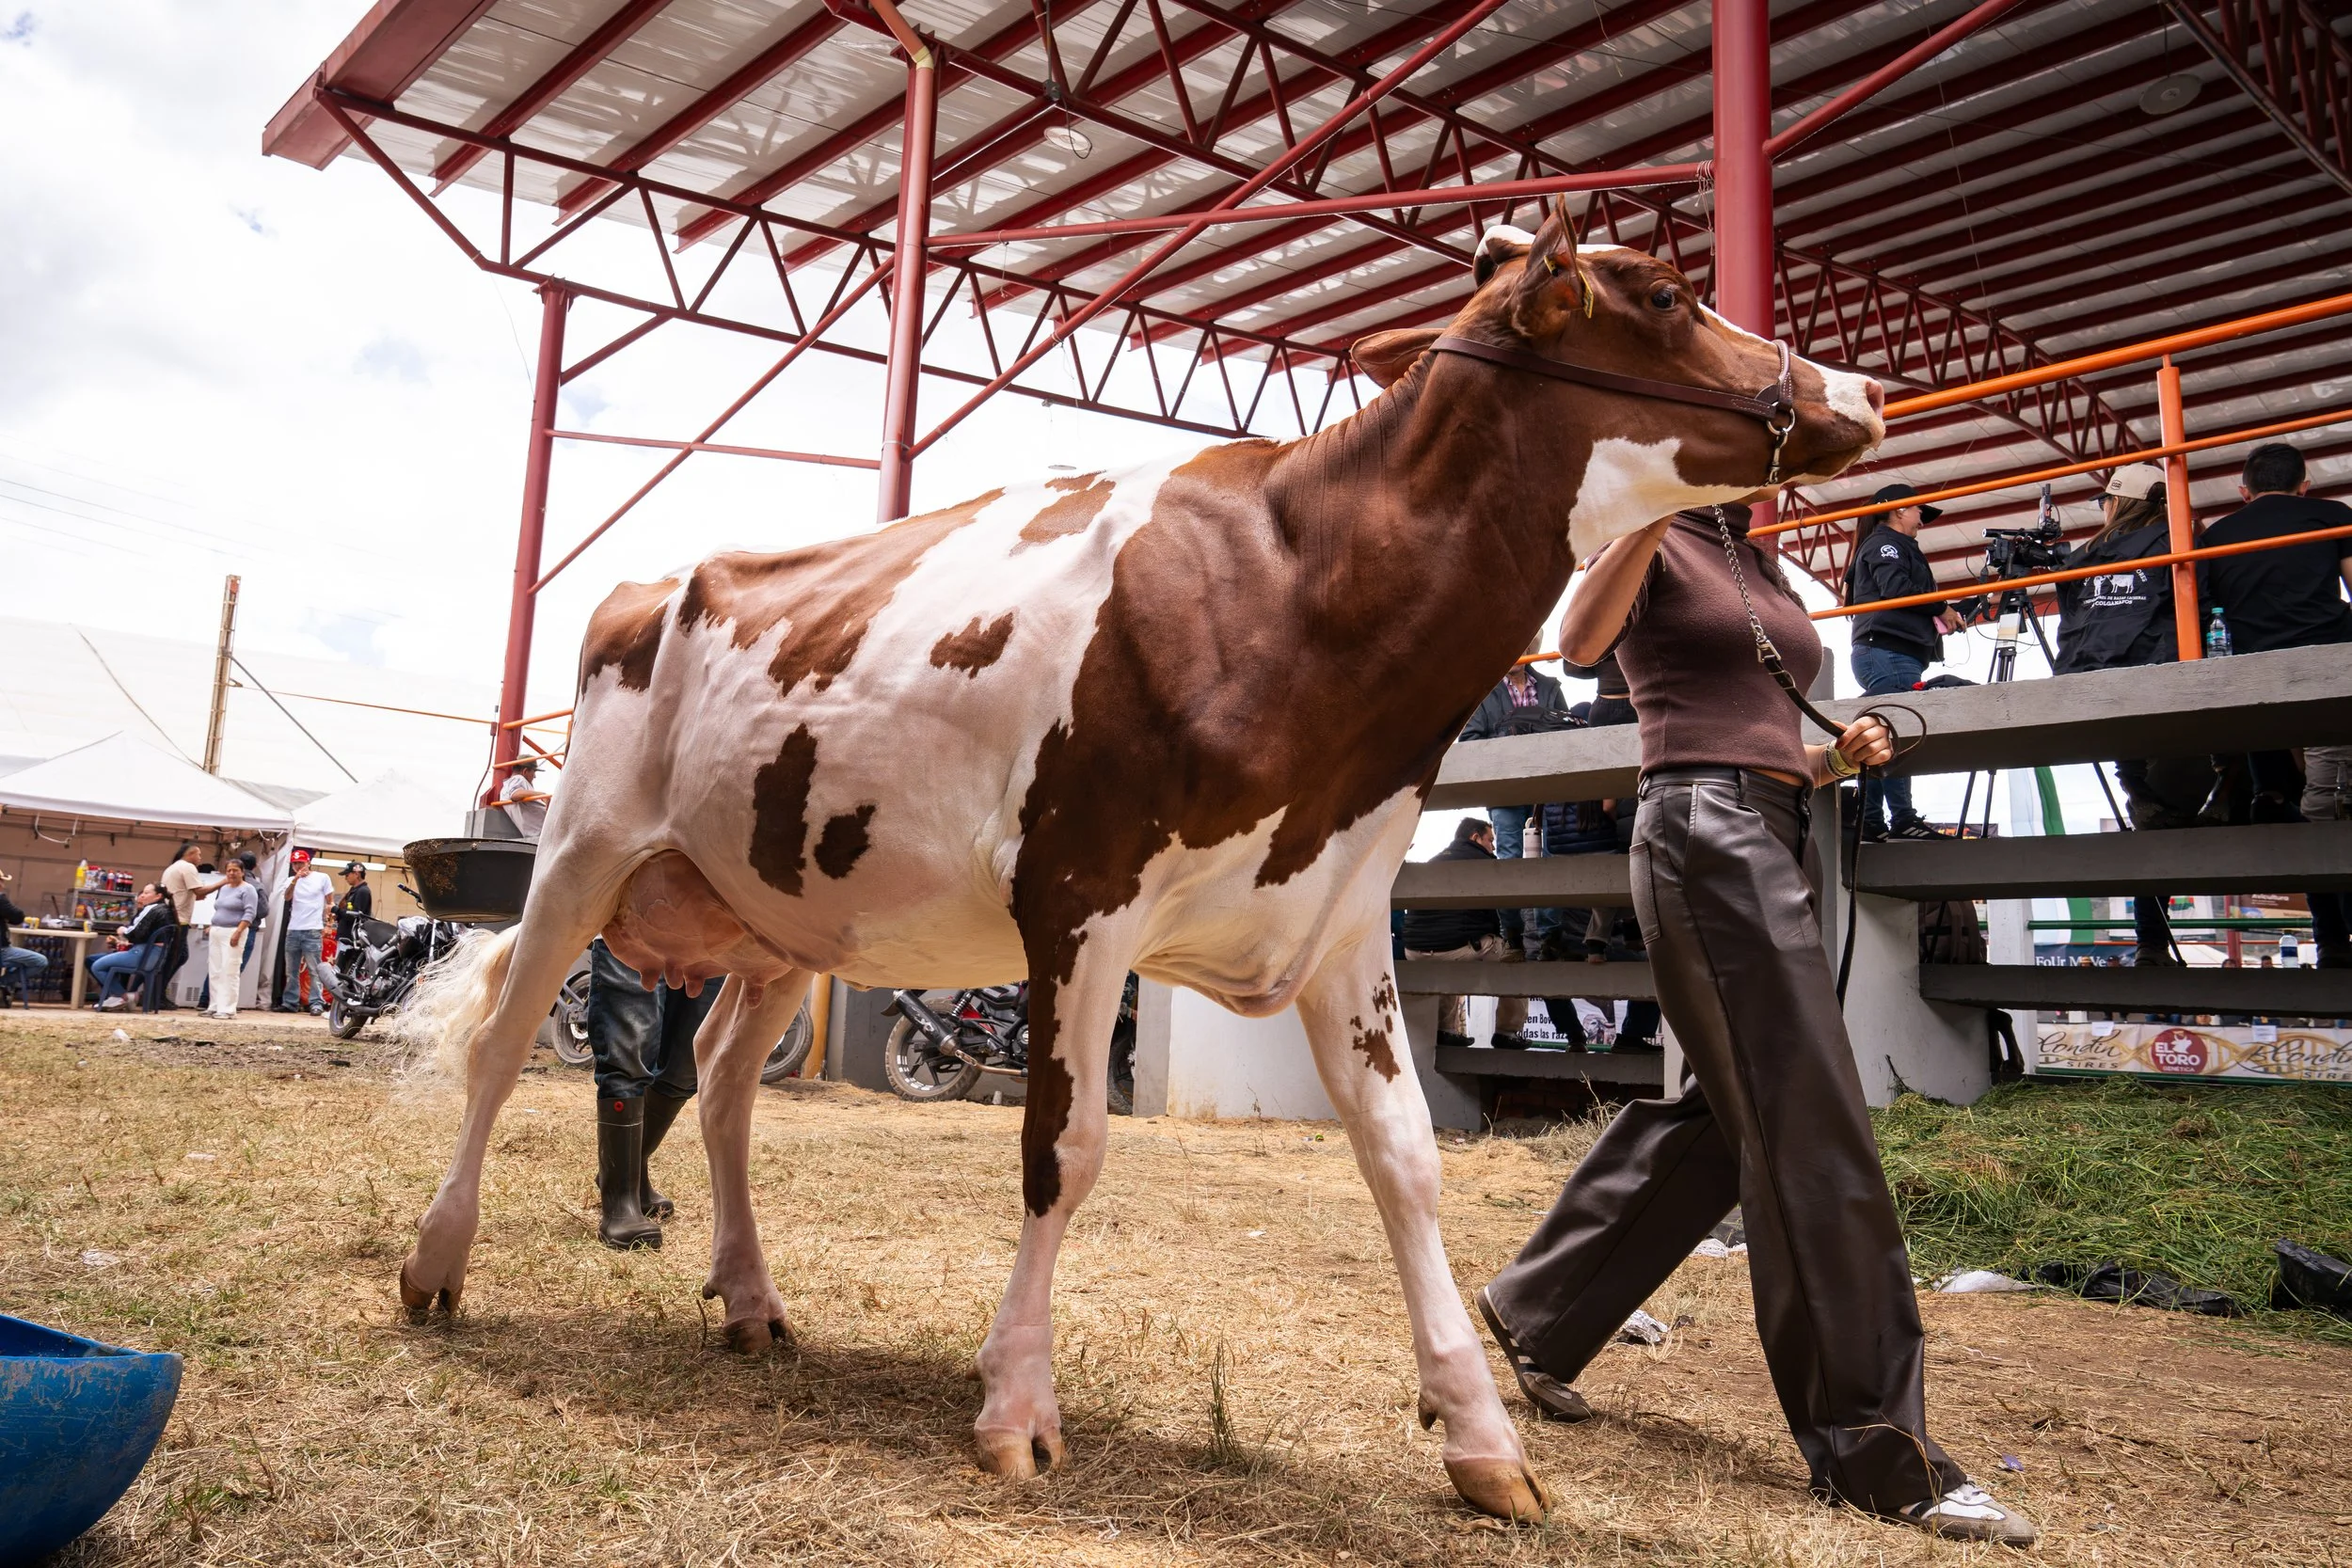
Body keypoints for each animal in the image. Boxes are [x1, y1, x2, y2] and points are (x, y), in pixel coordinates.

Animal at [393, 205, 1884, 1522]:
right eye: (1671, 297)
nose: (1862, 388)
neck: (1300, 591)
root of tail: (656, 580)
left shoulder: (1342, 916)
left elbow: (1405, 1158)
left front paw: (1481, 1436)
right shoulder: (1078, 894)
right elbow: (1065, 1146)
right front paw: (1014, 1406)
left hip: (782, 913)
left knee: (717, 1079)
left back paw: (752, 1298)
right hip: (582, 849)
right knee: (507, 1040)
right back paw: (435, 1264)